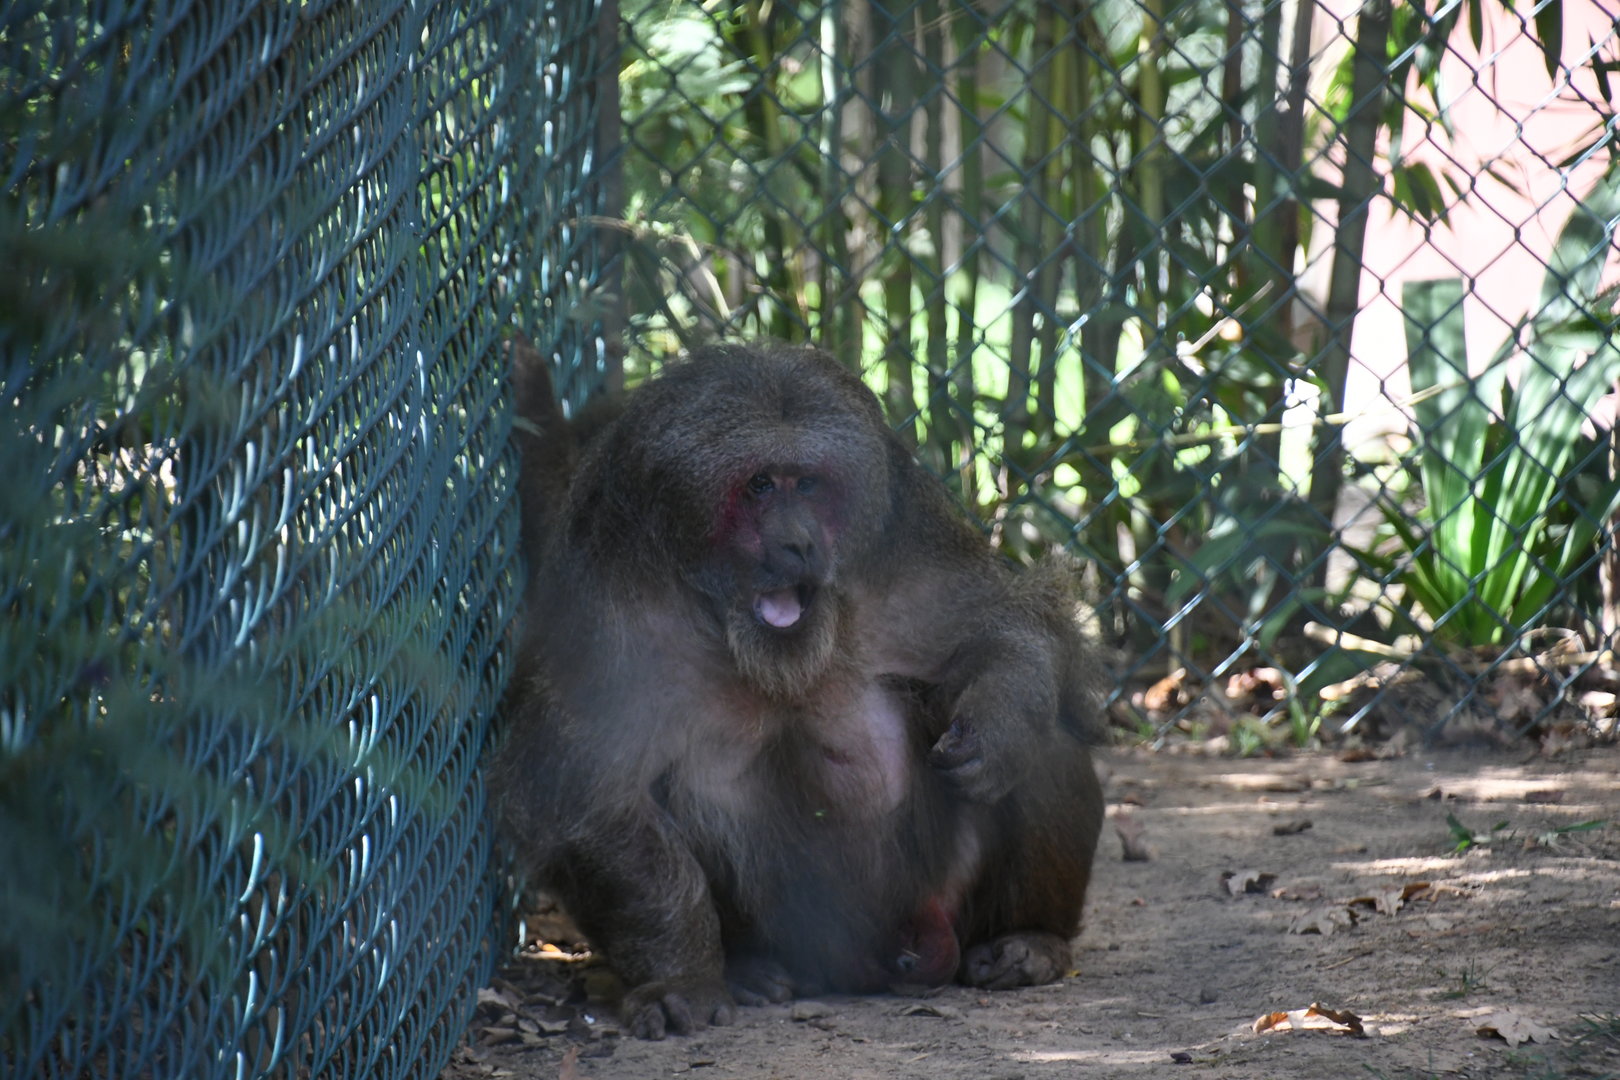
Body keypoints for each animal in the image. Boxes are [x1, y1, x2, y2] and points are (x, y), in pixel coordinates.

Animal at [490, 337, 1105, 1040]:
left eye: (808, 484)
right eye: (759, 486)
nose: (800, 543)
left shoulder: (902, 541)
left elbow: (1008, 630)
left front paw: (998, 725)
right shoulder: (606, 604)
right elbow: (579, 797)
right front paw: (681, 977)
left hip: (949, 897)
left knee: (1049, 740)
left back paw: (1032, 937)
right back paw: (747, 968)